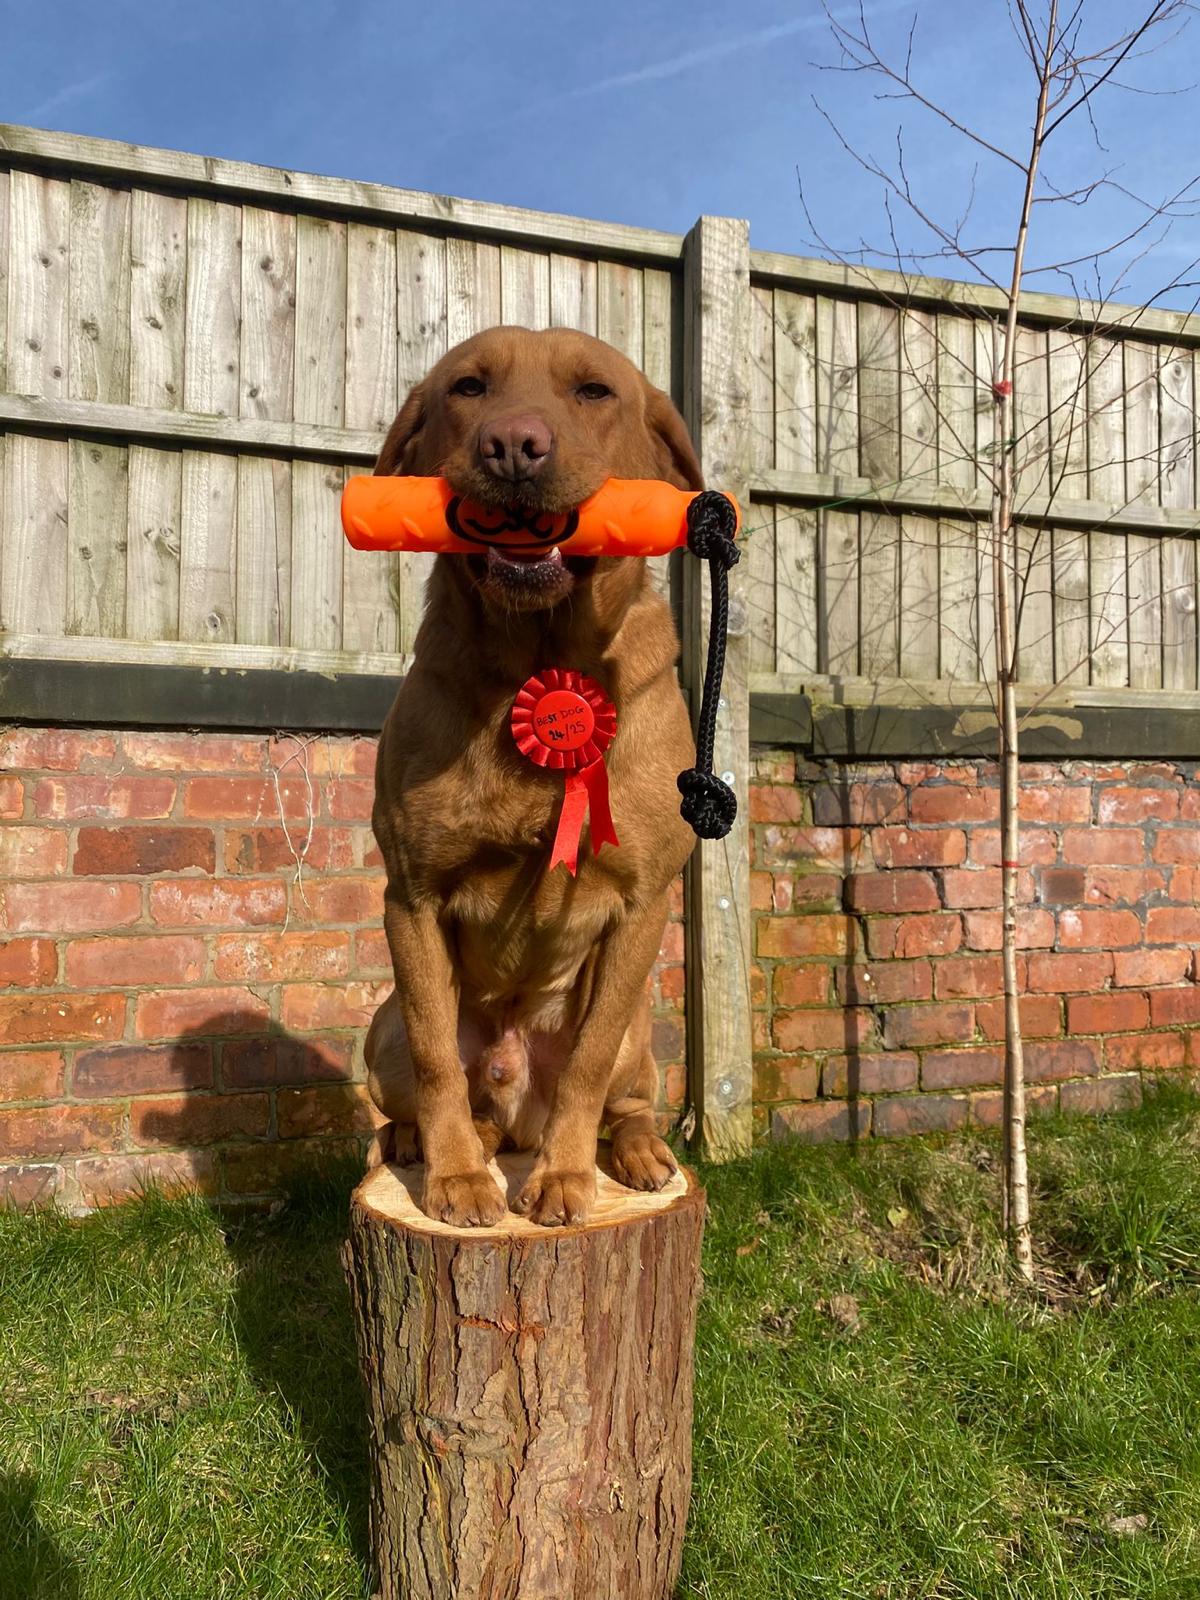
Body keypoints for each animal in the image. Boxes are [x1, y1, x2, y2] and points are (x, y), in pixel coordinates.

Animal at [366, 321, 704, 1222]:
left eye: (593, 392)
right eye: (468, 387)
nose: (514, 445)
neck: (539, 660)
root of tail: (520, 1105)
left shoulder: (642, 905)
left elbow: (585, 1064)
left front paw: (562, 1178)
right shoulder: (410, 895)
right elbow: (437, 1057)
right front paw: (453, 1176)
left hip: (639, 1030)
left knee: (621, 1097)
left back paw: (633, 1152)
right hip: (379, 1027)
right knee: (431, 1088)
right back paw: (440, 1144)